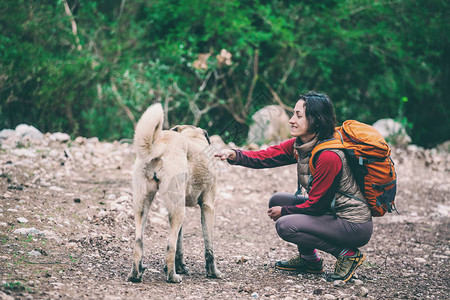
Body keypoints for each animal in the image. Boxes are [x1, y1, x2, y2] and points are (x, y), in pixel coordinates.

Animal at [127, 103, 221, 284]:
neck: (192, 136)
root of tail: (160, 145)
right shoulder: (208, 207)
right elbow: (209, 246)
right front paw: (213, 272)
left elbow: (180, 244)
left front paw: (182, 266)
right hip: (178, 211)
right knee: (169, 245)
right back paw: (172, 276)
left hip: (143, 206)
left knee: (138, 241)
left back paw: (136, 274)